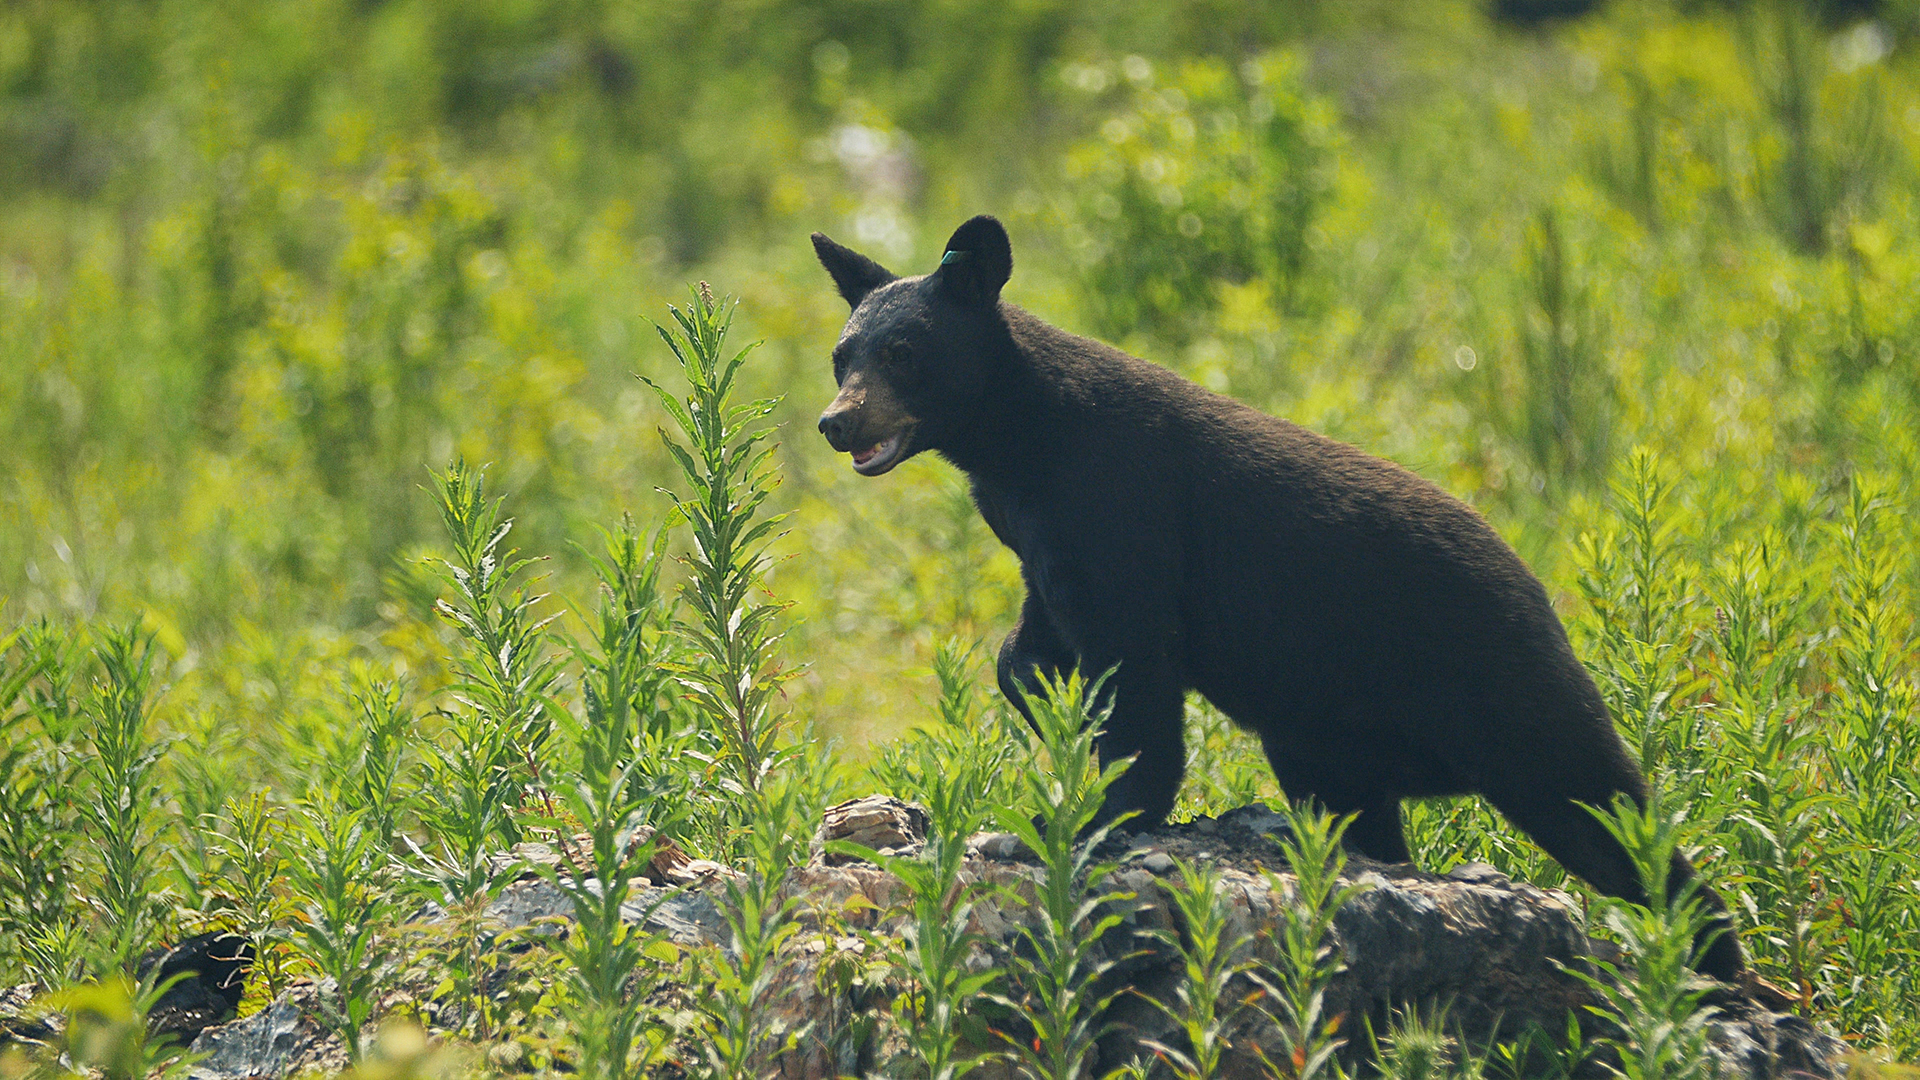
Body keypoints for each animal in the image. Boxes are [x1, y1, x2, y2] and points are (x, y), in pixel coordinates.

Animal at [817, 214, 1751, 980]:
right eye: (841, 355)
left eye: (902, 352)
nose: (836, 422)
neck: (1016, 443)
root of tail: (1536, 585)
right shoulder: (1042, 539)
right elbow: (1036, 638)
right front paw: (1040, 691)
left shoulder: (1120, 509)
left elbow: (1138, 674)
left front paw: (1089, 824)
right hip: (1329, 742)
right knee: (1374, 812)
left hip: (1501, 681)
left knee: (1600, 803)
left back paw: (1710, 960)